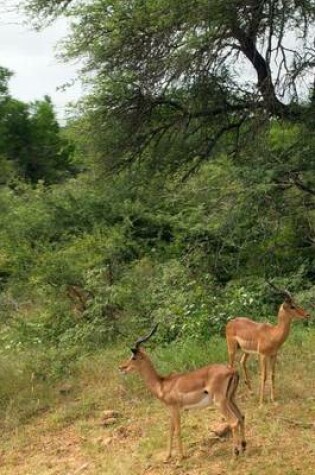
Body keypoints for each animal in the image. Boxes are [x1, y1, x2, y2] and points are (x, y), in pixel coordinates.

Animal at [119, 326, 246, 462]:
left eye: (133, 357)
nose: (121, 367)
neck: (162, 385)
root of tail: (232, 371)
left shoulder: (175, 408)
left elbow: (178, 430)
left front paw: (180, 458)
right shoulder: (171, 409)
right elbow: (171, 430)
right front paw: (167, 457)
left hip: (219, 402)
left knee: (233, 421)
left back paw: (234, 455)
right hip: (230, 399)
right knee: (241, 416)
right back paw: (243, 447)